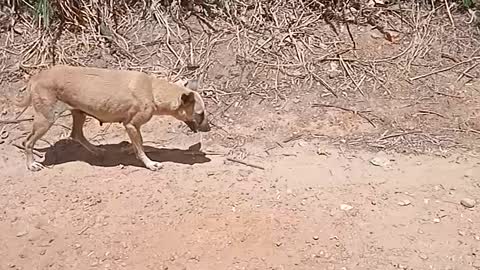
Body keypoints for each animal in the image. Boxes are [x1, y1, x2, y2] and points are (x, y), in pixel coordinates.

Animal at [15, 64, 210, 172]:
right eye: (200, 114)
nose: (209, 129)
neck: (153, 91)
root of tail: (36, 76)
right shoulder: (131, 125)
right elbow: (141, 147)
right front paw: (149, 163)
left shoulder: (133, 128)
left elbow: (138, 144)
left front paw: (129, 149)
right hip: (46, 120)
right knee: (28, 142)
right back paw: (31, 165)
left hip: (79, 113)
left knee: (76, 135)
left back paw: (96, 150)